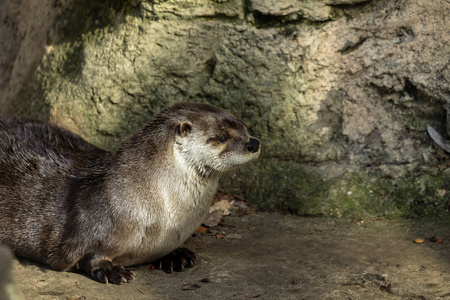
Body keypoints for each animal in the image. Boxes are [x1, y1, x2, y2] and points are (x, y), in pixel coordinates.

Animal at [0, 102, 260, 284]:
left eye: (244, 126)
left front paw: (177, 255)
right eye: (221, 137)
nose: (254, 143)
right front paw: (111, 271)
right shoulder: (90, 226)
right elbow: (87, 256)